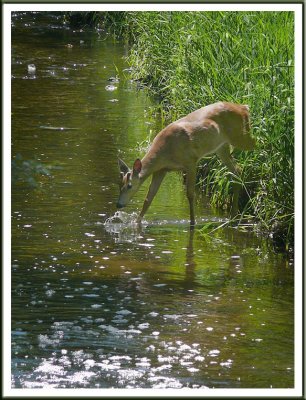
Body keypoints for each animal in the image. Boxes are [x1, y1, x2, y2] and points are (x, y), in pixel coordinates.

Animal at [117, 101, 256, 227]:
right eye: (119, 185)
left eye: (129, 185)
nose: (118, 204)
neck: (165, 152)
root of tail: (244, 107)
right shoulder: (161, 170)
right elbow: (148, 198)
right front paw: (136, 222)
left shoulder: (191, 161)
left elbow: (190, 194)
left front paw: (193, 222)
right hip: (221, 147)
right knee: (236, 170)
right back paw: (233, 214)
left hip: (240, 136)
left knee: (256, 144)